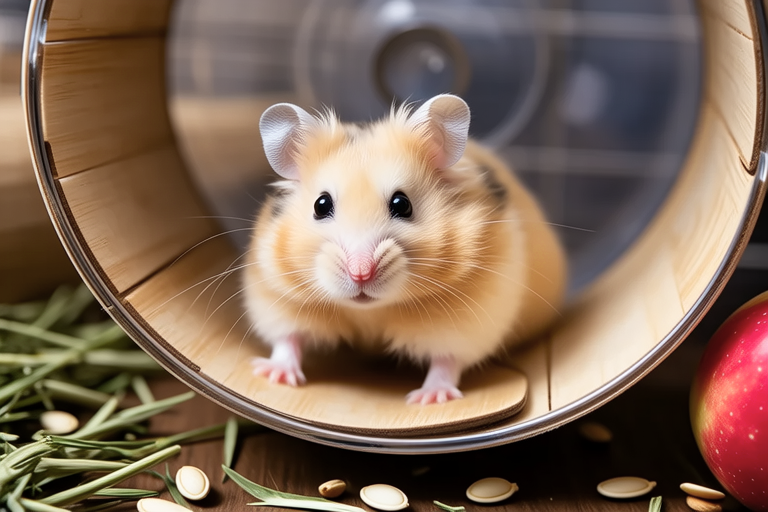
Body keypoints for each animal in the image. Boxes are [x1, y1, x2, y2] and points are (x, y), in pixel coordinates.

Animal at [243, 94, 567, 405]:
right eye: (321, 205)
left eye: (402, 204)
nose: (360, 274)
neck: (371, 311)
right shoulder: (277, 296)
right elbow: (287, 339)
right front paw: (274, 376)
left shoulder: (469, 317)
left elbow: (447, 360)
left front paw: (429, 399)